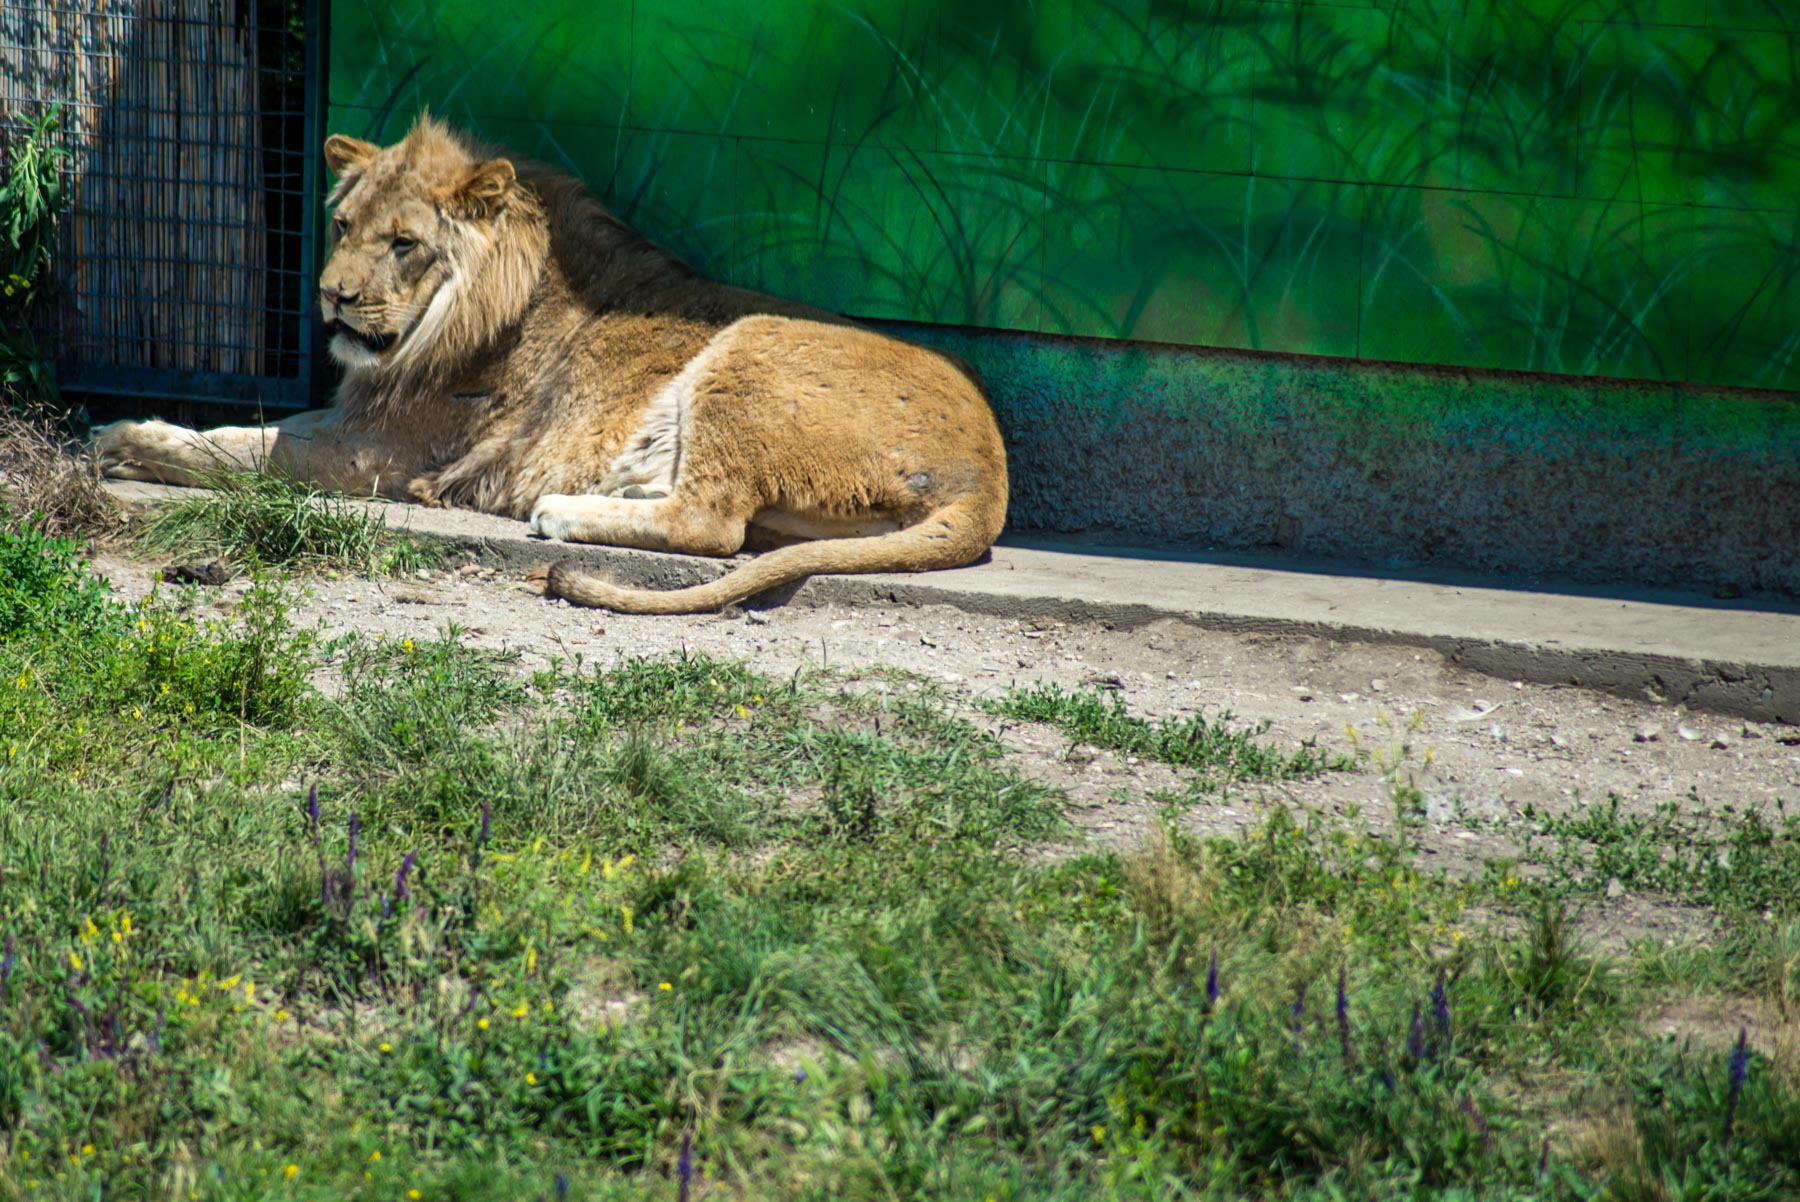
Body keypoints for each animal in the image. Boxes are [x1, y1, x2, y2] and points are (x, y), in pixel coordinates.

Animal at [91, 116, 1008, 615]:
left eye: (404, 243)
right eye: (344, 225)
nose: (332, 297)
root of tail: (989, 477)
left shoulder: (381, 454)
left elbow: (235, 450)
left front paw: (121, 437)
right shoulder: (360, 421)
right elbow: (249, 432)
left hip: (750, 343)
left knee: (712, 524)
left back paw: (563, 511)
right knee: (735, 522)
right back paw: (621, 493)